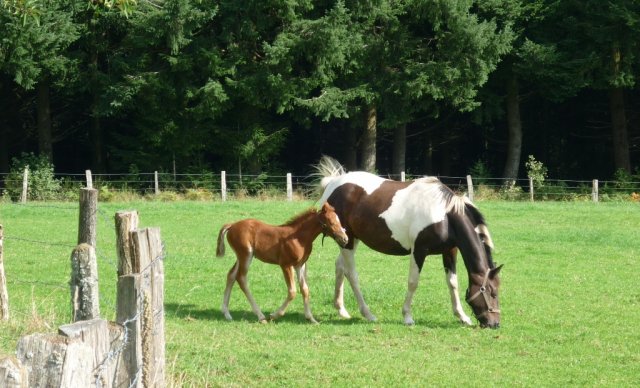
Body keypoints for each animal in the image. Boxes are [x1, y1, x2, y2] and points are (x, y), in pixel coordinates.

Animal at [215, 203, 348, 324]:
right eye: (331, 222)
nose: (345, 238)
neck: (298, 237)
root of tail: (232, 225)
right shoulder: (286, 265)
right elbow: (292, 291)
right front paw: (274, 315)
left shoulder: (300, 265)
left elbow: (305, 289)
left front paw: (311, 318)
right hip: (246, 255)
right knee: (241, 278)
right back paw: (261, 316)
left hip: (241, 256)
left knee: (231, 275)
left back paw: (227, 313)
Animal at [316, 156, 504, 328]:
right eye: (492, 292)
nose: (494, 324)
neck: (444, 215)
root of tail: (333, 184)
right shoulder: (419, 251)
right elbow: (413, 282)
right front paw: (407, 316)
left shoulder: (450, 251)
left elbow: (453, 283)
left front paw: (462, 316)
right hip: (347, 242)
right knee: (352, 274)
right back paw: (368, 314)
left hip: (351, 240)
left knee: (340, 266)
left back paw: (341, 309)